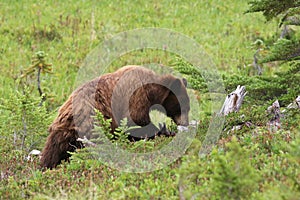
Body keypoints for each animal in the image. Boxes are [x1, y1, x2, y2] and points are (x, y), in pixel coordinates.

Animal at [39, 65, 190, 169]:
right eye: (184, 107)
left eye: (188, 107)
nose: (186, 123)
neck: (152, 92)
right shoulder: (135, 97)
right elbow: (137, 122)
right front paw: (164, 131)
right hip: (90, 122)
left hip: (63, 135)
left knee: (53, 151)